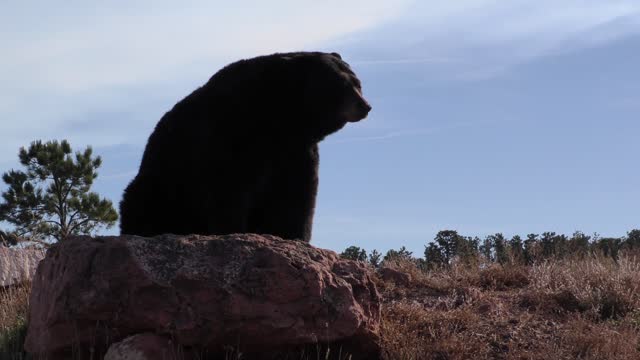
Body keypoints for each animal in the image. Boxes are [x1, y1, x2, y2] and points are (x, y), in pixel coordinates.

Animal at [119, 51, 370, 242]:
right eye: (342, 84)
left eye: (358, 84)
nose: (365, 106)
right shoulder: (231, 133)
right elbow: (229, 185)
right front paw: (232, 231)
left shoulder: (297, 149)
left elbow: (299, 193)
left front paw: (297, 237)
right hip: (161, 185)